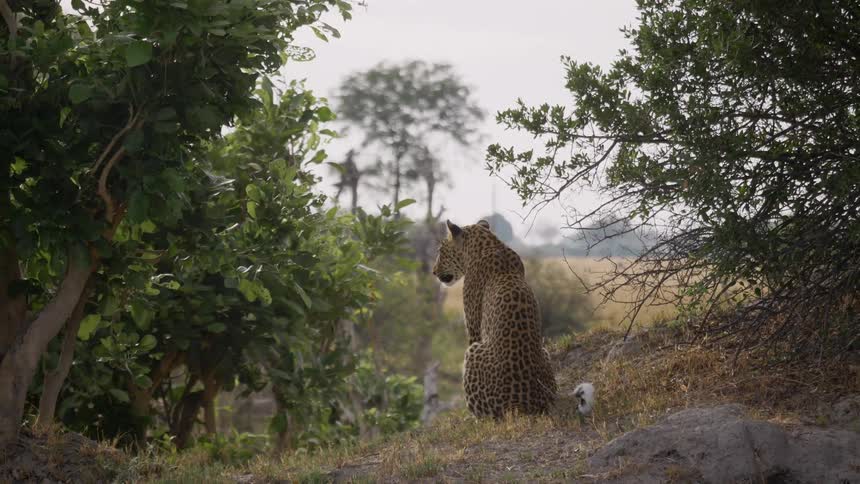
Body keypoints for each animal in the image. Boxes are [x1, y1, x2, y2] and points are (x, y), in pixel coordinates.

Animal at [431, 219, 558, 418]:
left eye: (441, 251)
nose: (434, 272)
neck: (488, 244)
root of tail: (521, 406)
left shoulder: (474, 328)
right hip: (545, 352)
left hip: (473, 352)